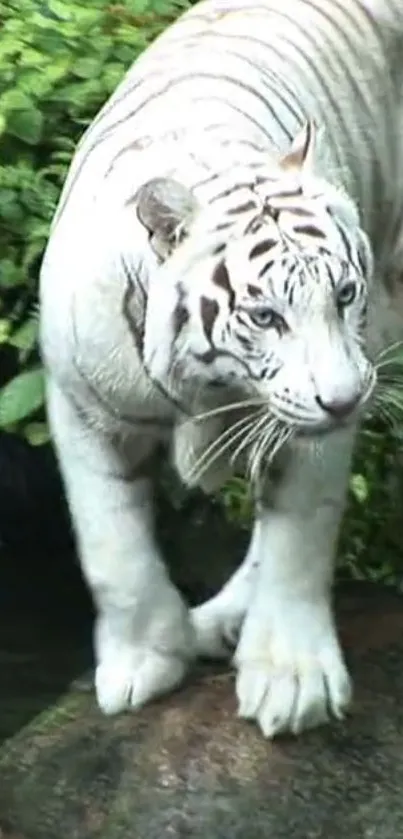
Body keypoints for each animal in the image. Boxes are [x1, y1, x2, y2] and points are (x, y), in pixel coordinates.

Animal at [39, 0, 403, 740]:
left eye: (343, 294)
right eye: (265, 316)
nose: (347, 400)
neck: (205, 389)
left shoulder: (315, 415)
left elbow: (300, 532)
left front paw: (292, 683)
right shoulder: (81, 404)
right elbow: (111, 547)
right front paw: (145, 662)